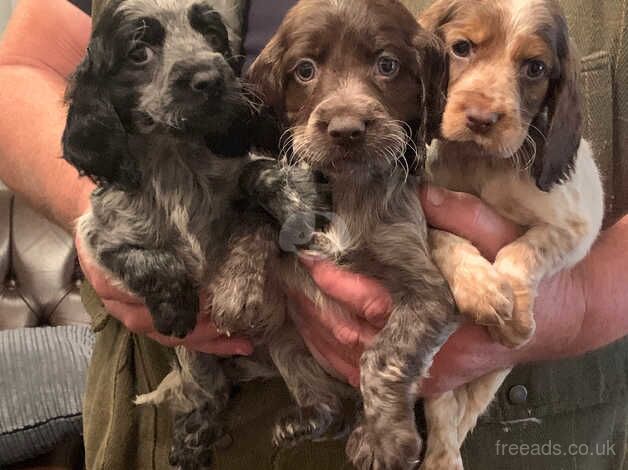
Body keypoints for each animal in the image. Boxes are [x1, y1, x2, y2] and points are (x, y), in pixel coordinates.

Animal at [418, 0, 604, 470]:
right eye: (461, 48)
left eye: (535, 68)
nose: (482, 120)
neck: (480, 163)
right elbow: (444, 238)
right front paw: (481, 288)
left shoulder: (577, 226)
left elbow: (524, 250)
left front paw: (513, 312)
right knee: (443, 406)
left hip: (494, 369)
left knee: (465, 408)